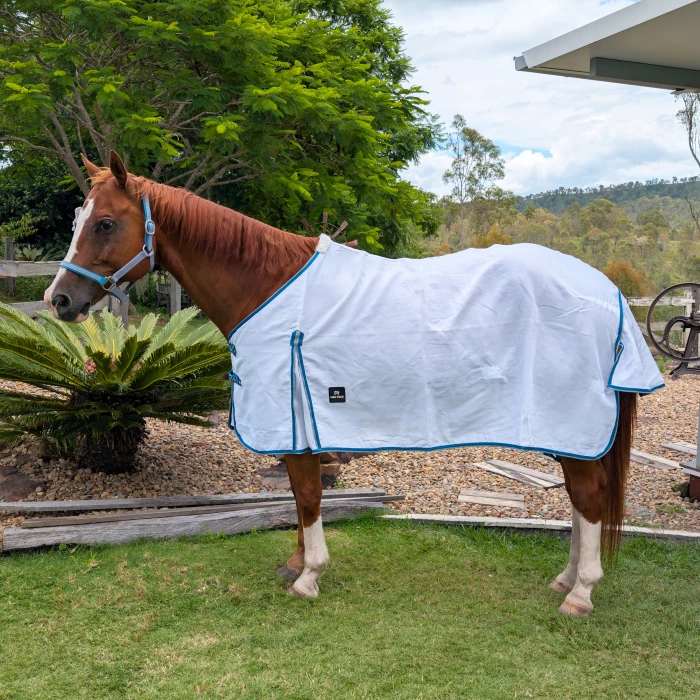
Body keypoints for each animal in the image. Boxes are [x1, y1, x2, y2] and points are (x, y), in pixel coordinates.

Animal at [45, 153, 660, 616]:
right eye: (77, 219)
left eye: (105, 223)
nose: (59, 300)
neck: (267, 286)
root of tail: (608, 291)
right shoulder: (298, 426)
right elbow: (300, 498)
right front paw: (295, 564)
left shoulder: (294, 421)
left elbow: (308, 496)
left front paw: (308, 576)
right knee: (582, 502)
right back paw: (566, 579)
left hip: (573, 424)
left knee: (589, 497)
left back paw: (580, 593)